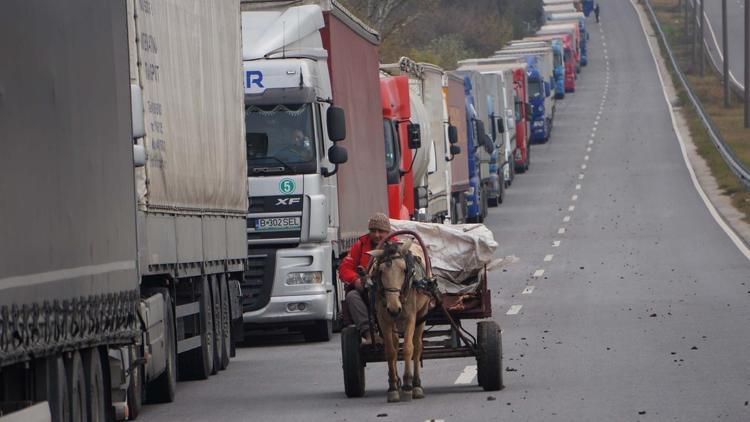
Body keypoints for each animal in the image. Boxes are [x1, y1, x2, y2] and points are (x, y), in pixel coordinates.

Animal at [368, 237, 432, 402]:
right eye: (381, 271)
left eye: (404, 270)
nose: (394, 308)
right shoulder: (383, 318)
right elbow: (390, 351)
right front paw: (393, 387)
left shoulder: (411, 317)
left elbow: (409, 348)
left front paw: (408, 384)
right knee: (396, 343)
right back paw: (397, 381)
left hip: (422, 312)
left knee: (417, 346)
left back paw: (416, 385)